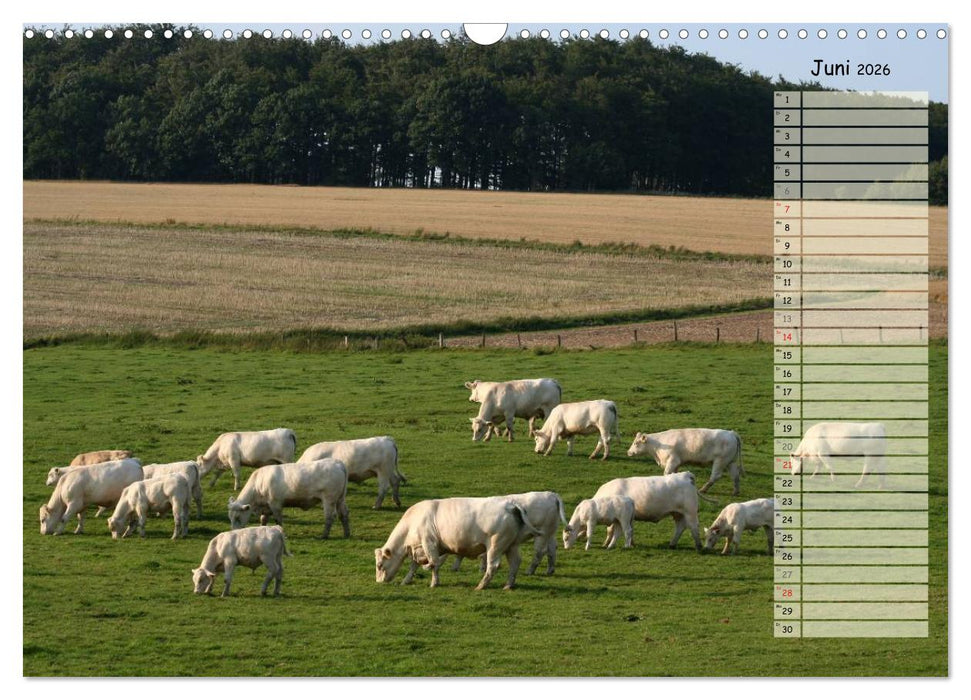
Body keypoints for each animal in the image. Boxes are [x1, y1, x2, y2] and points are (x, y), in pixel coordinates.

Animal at [375, 497, 540, 590]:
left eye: (380, 565)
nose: (378, 582)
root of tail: (510, 505)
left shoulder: (429, 544)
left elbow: (434, 564)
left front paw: (434, 583)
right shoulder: (419, 549)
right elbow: (414, 566)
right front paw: (406, 580)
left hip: (495, 546)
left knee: (493, 566)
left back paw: (481, 586)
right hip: (512, 545)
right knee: (515, 563)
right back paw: (508, 585)